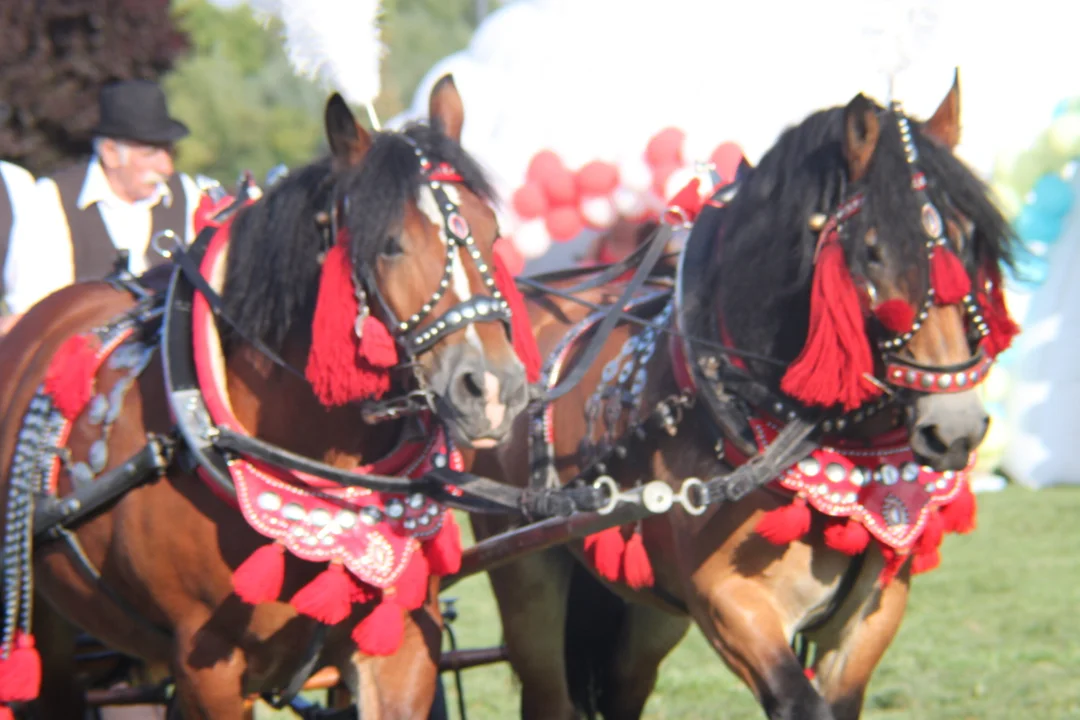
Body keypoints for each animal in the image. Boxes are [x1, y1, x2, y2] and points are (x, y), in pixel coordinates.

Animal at [473, 78, 1019, 720]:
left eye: (968, 243)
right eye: (873, 252)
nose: (955, 427)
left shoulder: (872, 615)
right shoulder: (731, 604)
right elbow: (799, 701)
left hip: (645, 609)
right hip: (526, 575)